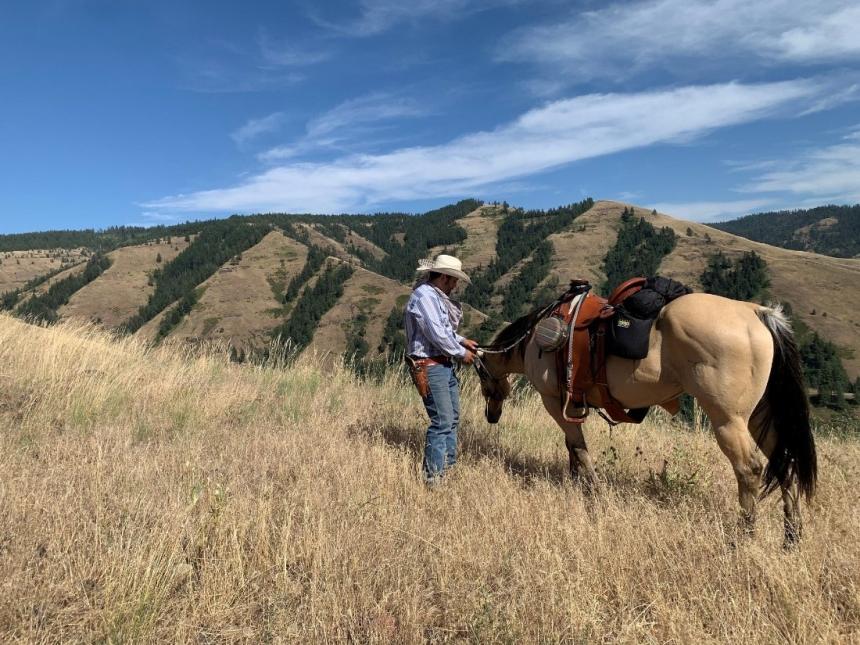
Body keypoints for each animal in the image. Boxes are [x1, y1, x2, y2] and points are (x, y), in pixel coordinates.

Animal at [474, 290, 816, 544]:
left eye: (481, 378)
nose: (491, 416)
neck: (535, 338)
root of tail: (755, 312)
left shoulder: (554, 402)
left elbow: (579, 449)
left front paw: (595, 493)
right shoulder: (570, 406)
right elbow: (573, 449)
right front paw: (575, 484)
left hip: (728, 420)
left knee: (750, 469)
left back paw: (743, 537)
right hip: (760, 417)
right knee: (785, 462)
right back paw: (791, 536)